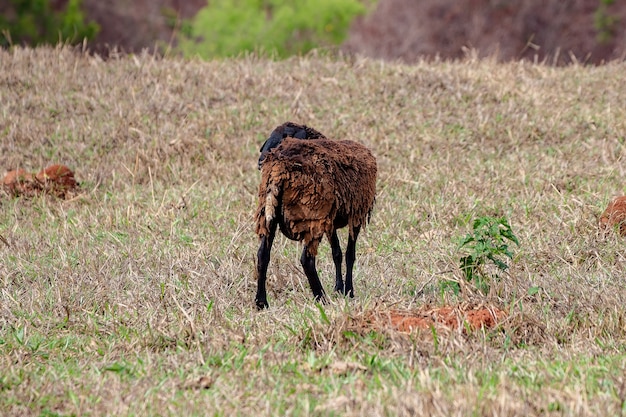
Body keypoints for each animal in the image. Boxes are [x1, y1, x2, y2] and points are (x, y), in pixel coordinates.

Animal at [254, 122, 376, 308]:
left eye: (283, 138)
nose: (261, 161)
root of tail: (278, 172)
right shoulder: (356, 215)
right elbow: (350, 254)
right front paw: (349, 291)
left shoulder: (331, 222)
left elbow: (337, 253)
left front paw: (339, 288)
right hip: (312, 216)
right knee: (307, 260)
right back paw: (321, 298)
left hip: (270, 213)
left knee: (262, 255)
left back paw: (261, 302)